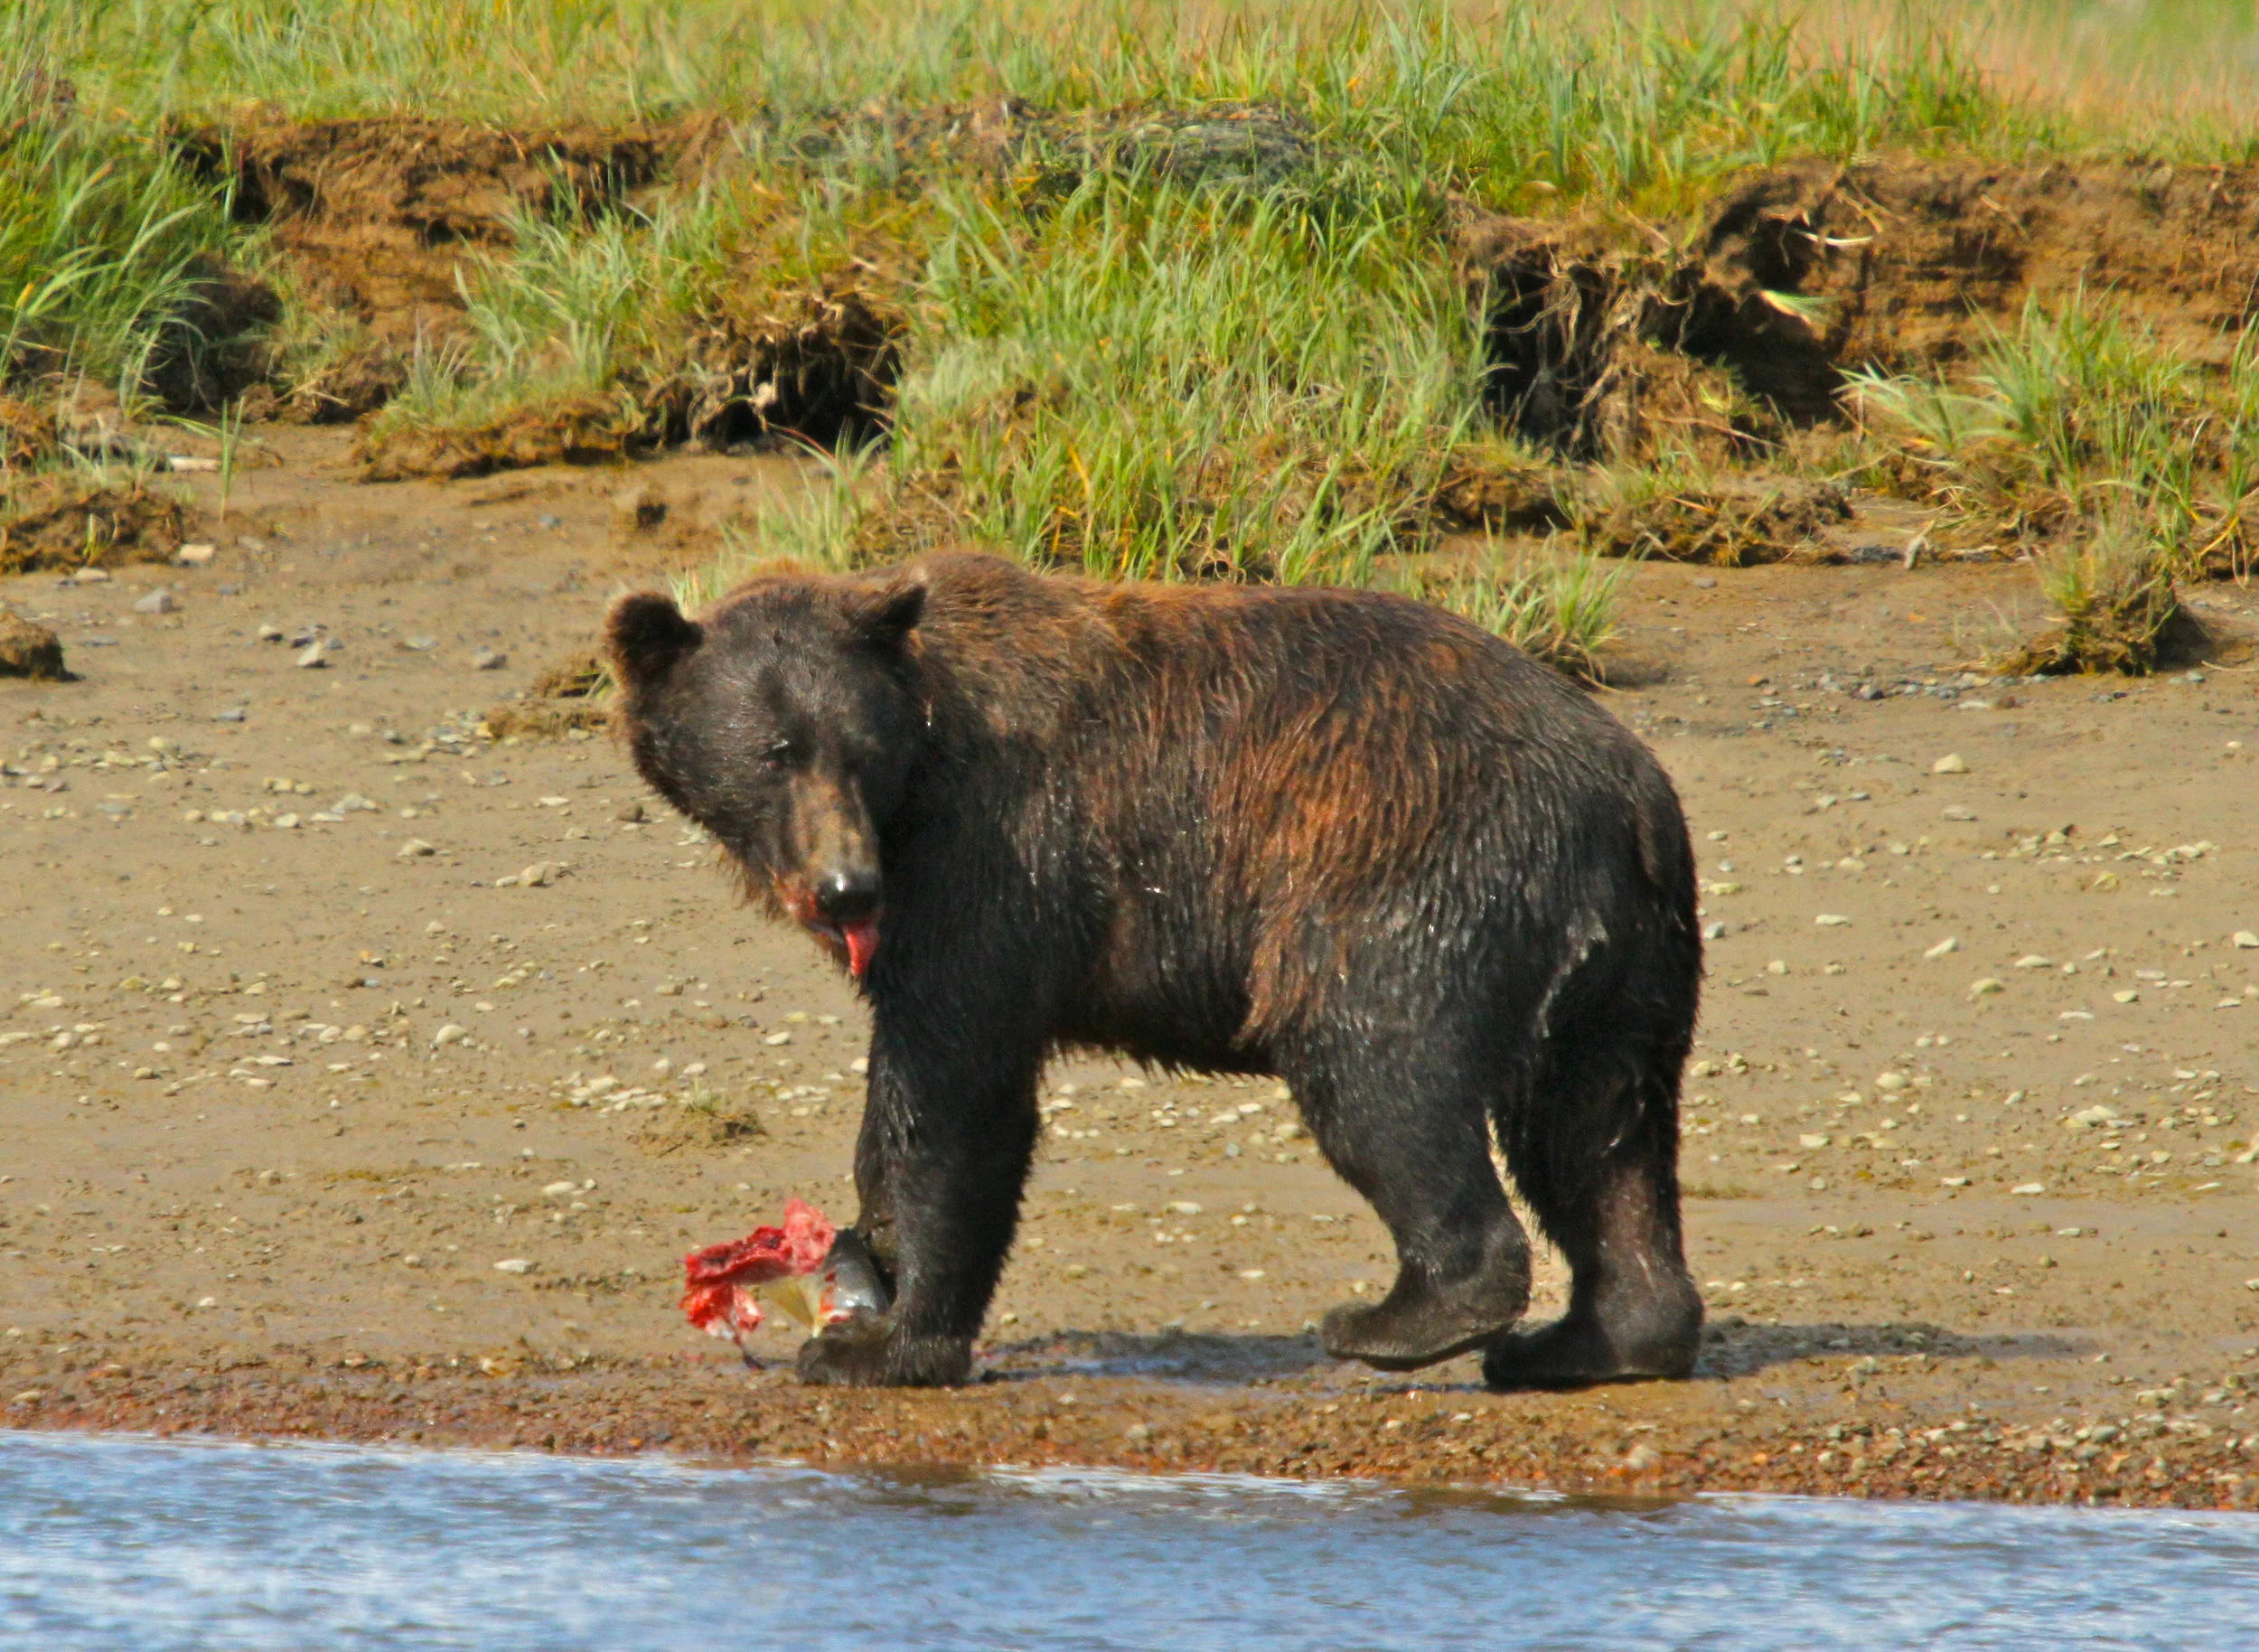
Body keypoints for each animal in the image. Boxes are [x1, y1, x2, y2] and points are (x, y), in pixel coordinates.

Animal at [607, 551, 1703, 1390]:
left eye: (856, 747)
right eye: (775, 751)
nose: (844, 889)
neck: (912, 798)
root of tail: (1630, 787)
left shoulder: (994, 861)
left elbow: (953, 1089)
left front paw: (883, 1341)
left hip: (1412, 870)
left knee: (1378, 1069)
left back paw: (1403, 1317)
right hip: (1619, 953)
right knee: (1599, 1132)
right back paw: (1595, 1339)